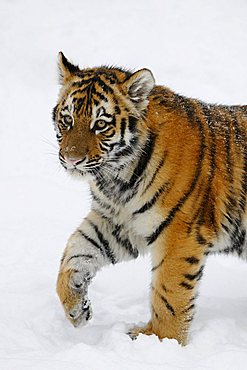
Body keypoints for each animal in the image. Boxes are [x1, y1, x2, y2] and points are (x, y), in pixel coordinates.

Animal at [54, 51, 247, 344]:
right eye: (67, 120)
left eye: (101, 124)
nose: (72, 159)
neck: (117, 180)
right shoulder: (116, 223)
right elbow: (74, 254)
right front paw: (77, 308)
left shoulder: (179, 234)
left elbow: (169, 294)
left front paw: (161, 340)